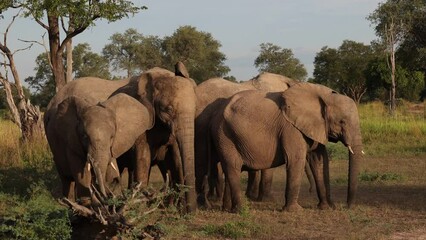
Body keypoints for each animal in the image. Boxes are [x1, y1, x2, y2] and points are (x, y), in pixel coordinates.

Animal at [45, 62, 198, 212]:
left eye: (196, 109)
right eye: (168, 109)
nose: (192, 211)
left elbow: (176, 158)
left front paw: (176, 210)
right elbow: (143, 157)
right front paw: (140, 208)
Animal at [210, 82, 362, 212]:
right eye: (342, 122)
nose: (346, 206)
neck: (324, 95)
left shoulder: (315, 126)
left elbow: (318, 160)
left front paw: (326, 208)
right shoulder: (290, 128)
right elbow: (296, 160)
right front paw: (295, 210)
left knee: (230, 170)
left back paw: (227, 209)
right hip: (225, 136)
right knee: (233, 168)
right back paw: (240, 210)